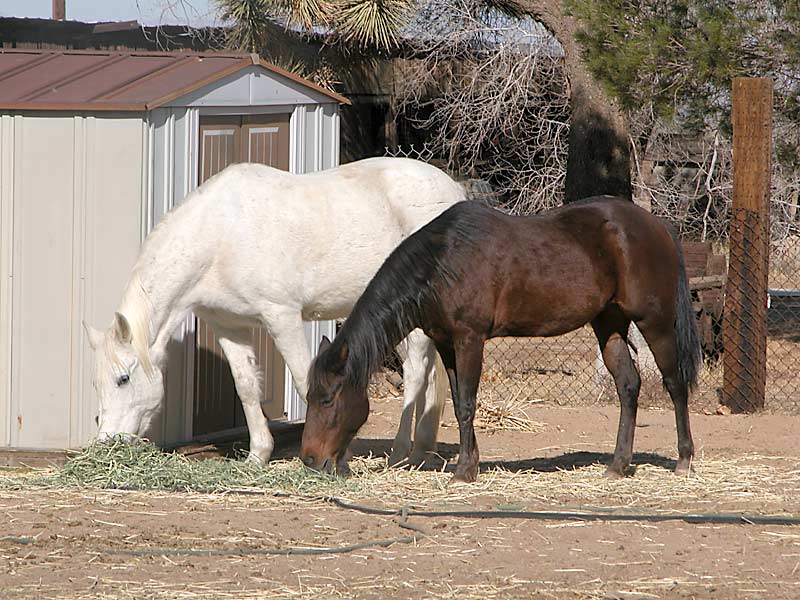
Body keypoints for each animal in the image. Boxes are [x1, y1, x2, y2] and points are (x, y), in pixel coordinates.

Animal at [83, 158, 462, 464]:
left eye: (123, 378)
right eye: (95, 384)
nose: (106, 443)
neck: (221, 236)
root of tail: (454, 190)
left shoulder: (283, 317)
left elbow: (305, 381)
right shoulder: (228, 326)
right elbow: (246, 387)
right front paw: (258, 455)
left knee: (416, 372)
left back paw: (400, 452)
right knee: (428, 374)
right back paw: (421, 449)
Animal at [300, 197, 700, 482]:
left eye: (328, 398)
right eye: (308, 397)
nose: (310, 459)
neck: (443, 263)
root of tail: (658, 226)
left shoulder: (469, 338)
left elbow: (467, 404)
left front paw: (464, 471)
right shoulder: (446, 343)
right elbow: (459, 401)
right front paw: (469, 463)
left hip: (655, 322)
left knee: (675, 383)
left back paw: (684, 459)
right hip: (608, 323)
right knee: (628, 385)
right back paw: (618, 465)